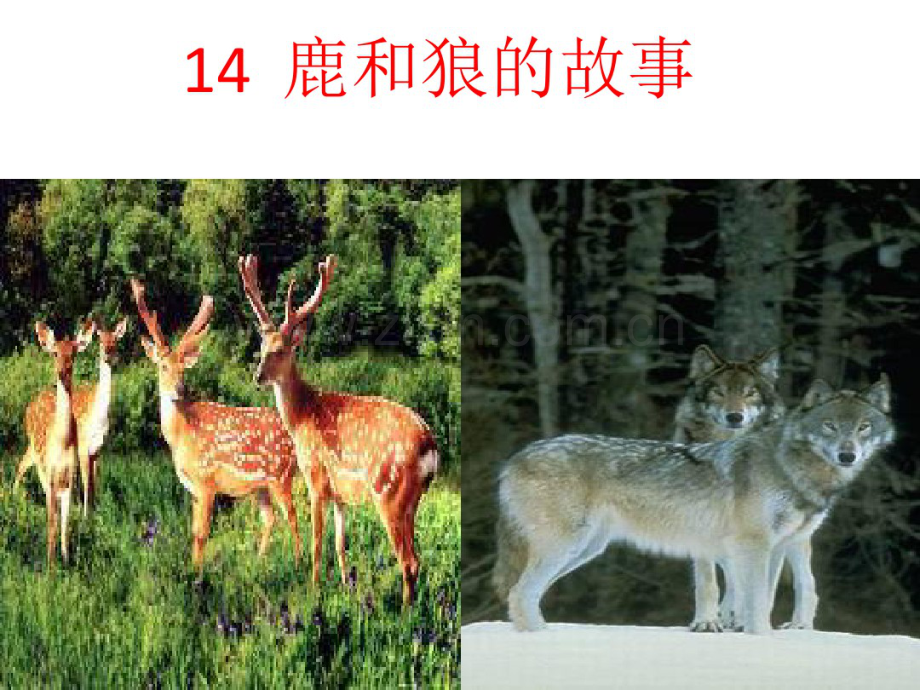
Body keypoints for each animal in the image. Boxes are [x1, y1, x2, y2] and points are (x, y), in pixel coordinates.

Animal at [15, 319, 95, 568]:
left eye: (74, 353)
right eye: (54, 353)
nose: (61, 371)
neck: (62, 443)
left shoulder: (70, 478)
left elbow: (65, 523)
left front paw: (66, 559)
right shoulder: (50, 475)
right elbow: (52, 522)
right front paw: (51, 566)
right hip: (34, 451)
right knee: (19, 467)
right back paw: (12, 498)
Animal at [16, 318, 129, 517]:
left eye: (115, 340)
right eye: (101, 341)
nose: (108, 353)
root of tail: (29, 405)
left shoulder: (97, 449)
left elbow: (93, 483)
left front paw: (95, 513)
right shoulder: (83, 446)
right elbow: (85, 482)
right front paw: (85, 516)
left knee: (25, 465)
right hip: (38, 448)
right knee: (28, 468)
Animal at [130, 278, 302, 578]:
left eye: (184, 369)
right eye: (162, 366)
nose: (180, 389)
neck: (182, 436)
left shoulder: (206, 481)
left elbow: (202, 534)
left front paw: (196, 577)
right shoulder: (192, 489)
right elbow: (193, 533)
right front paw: (192, 570)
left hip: (282, 475)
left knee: (294, 517)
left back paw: (298, 566)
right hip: (261, 486)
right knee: (270, 519)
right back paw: (258, 564)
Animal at [238, 254, 439, 606]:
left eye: (282, 349)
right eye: (261, 348)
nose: (258, 376)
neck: (302, 416)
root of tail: (429, 446)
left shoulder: (315, 476)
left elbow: (317, 542)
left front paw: (314, 590)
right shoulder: (339, 493)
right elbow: (340, 544)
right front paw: (346, 587)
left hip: (389, 492)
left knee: (409, 561)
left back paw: (405, 613)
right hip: (412, 501)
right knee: (416, 558)